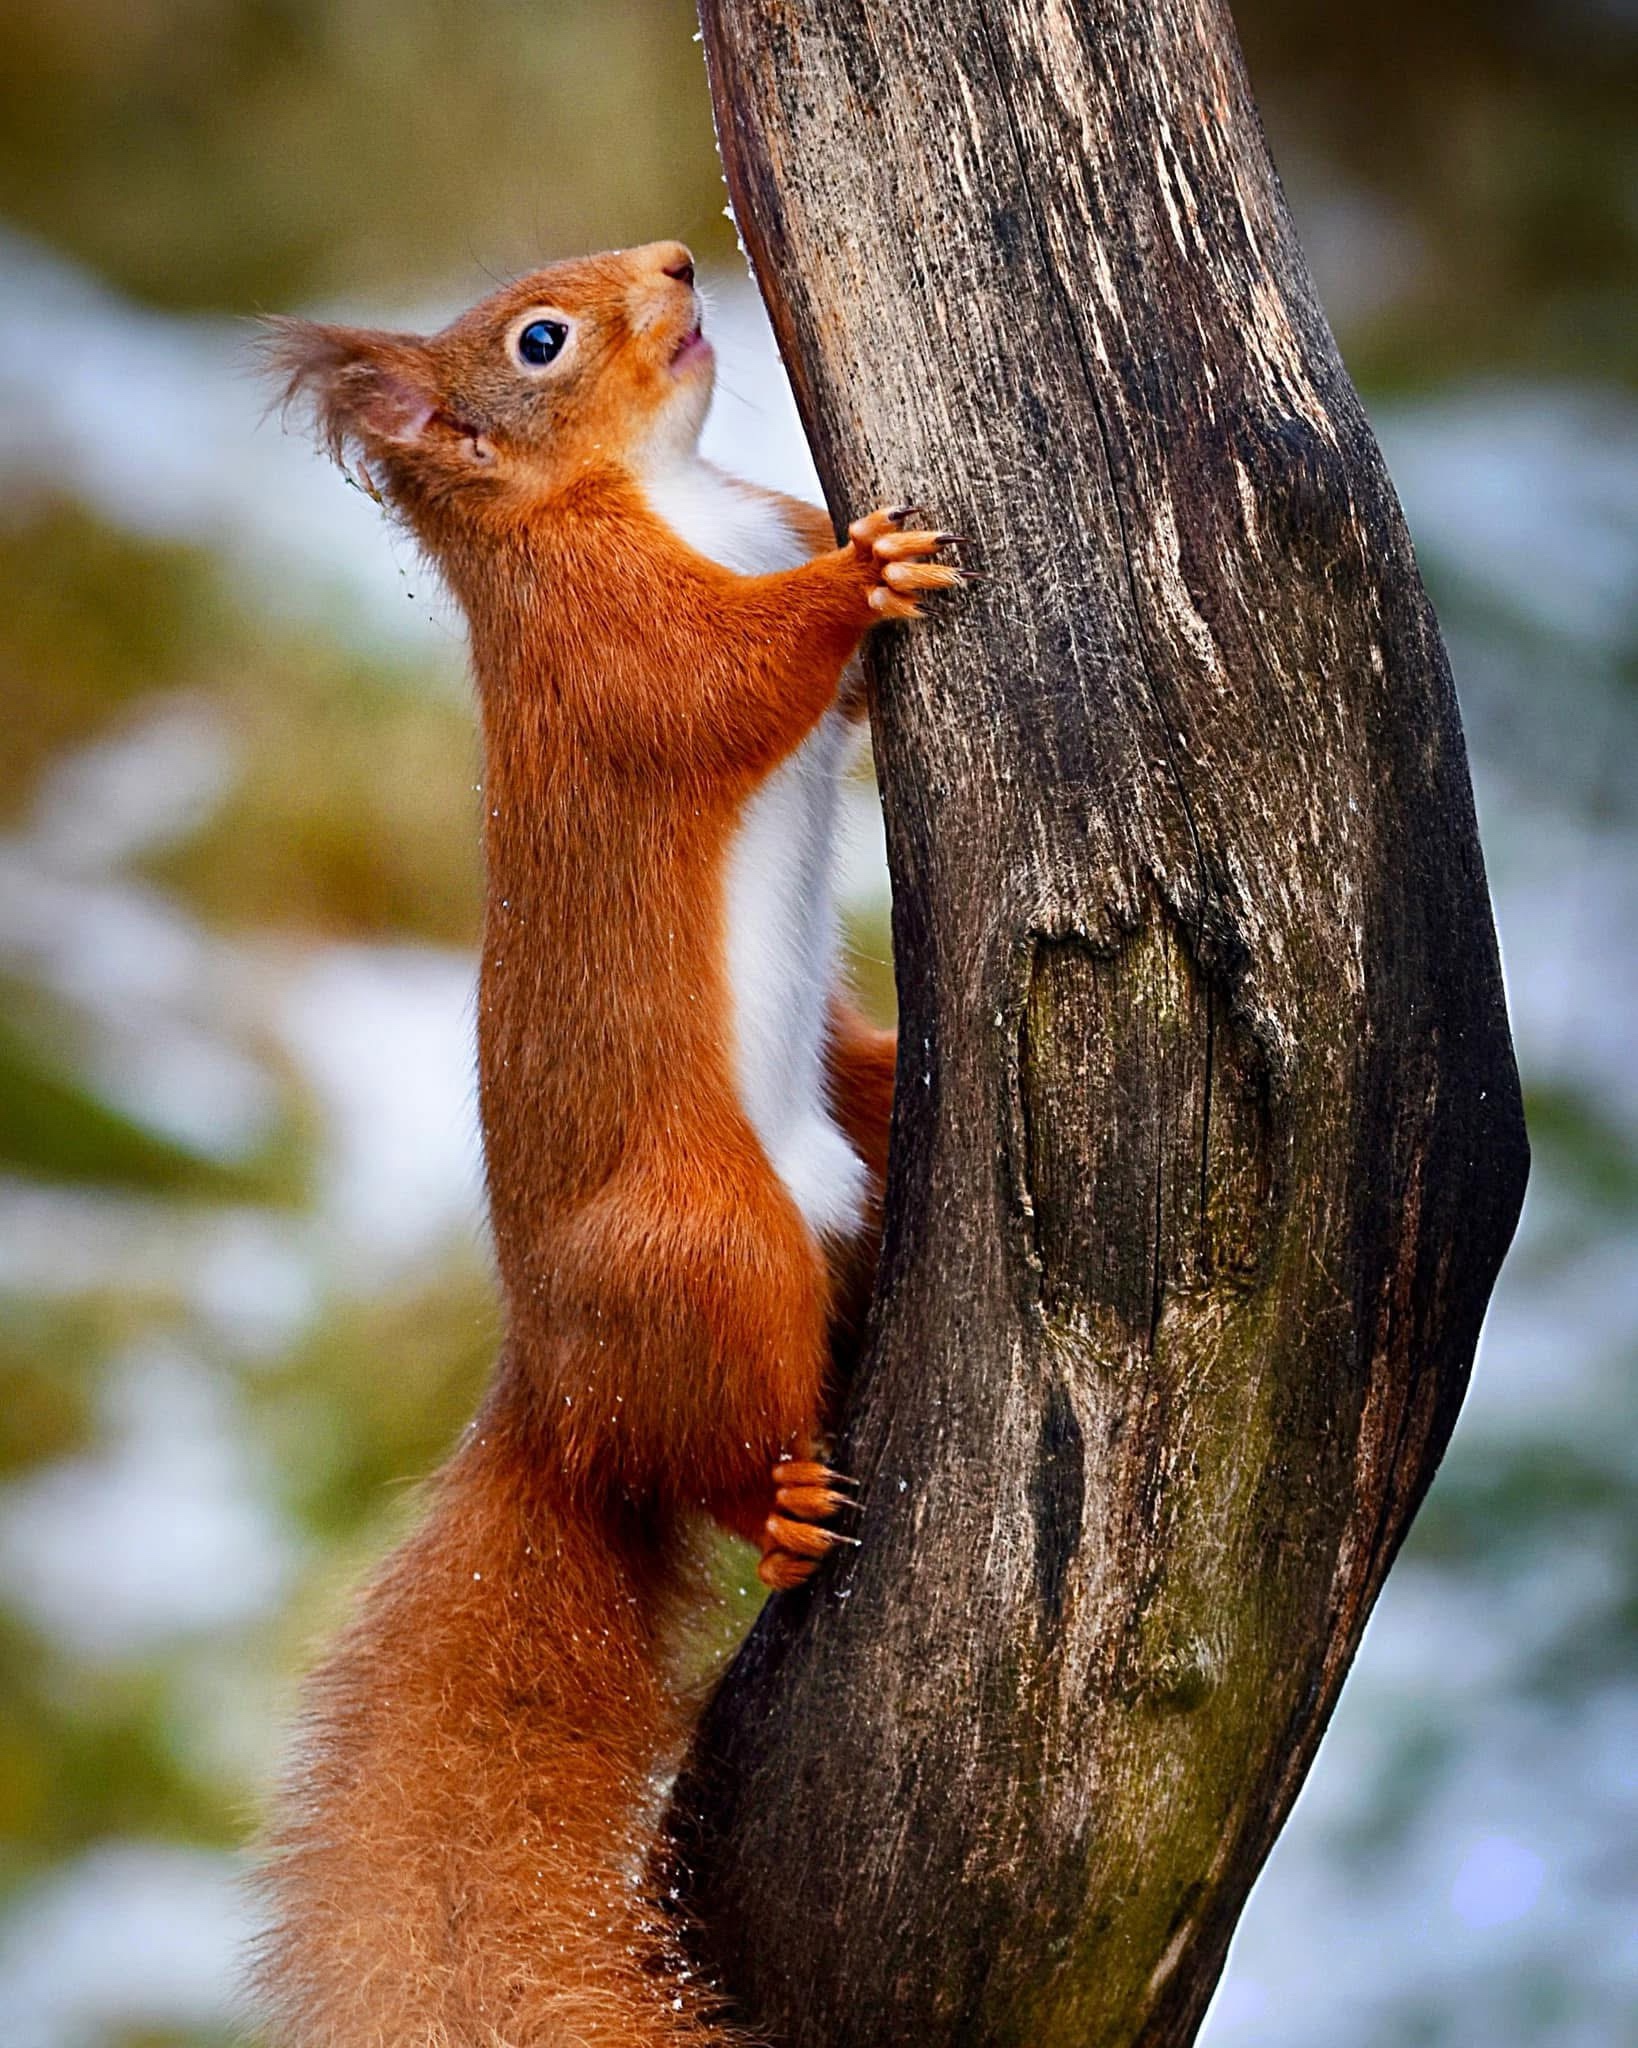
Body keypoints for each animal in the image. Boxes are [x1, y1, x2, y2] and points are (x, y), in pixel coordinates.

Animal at [262, 243, 966, 2048]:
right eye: (537, 340)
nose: (675, 258)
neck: (663, 493)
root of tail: (556, 1404)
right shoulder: (602, 647)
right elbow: (718, 683)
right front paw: (866, 574)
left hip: (852, 1113)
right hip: (700, 1242)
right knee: (706, 1451)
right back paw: (778, 1509)